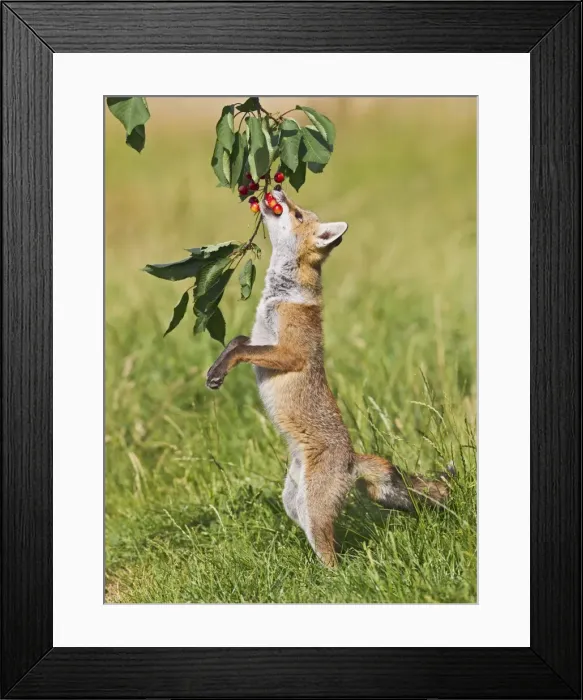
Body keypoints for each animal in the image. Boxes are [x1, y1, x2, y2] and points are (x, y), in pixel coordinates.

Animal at [206, 188, 451, 567]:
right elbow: (236, 342)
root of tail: (352, 459)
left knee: (333, 557)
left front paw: (219, 372)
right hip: (294, 504)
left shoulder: (290, 353)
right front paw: (215, 371)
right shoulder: (258, 338)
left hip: (315, 509)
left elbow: (240, 351)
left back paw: (329, 577)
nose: (275, 189)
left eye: (297, 213)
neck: (281, 295)